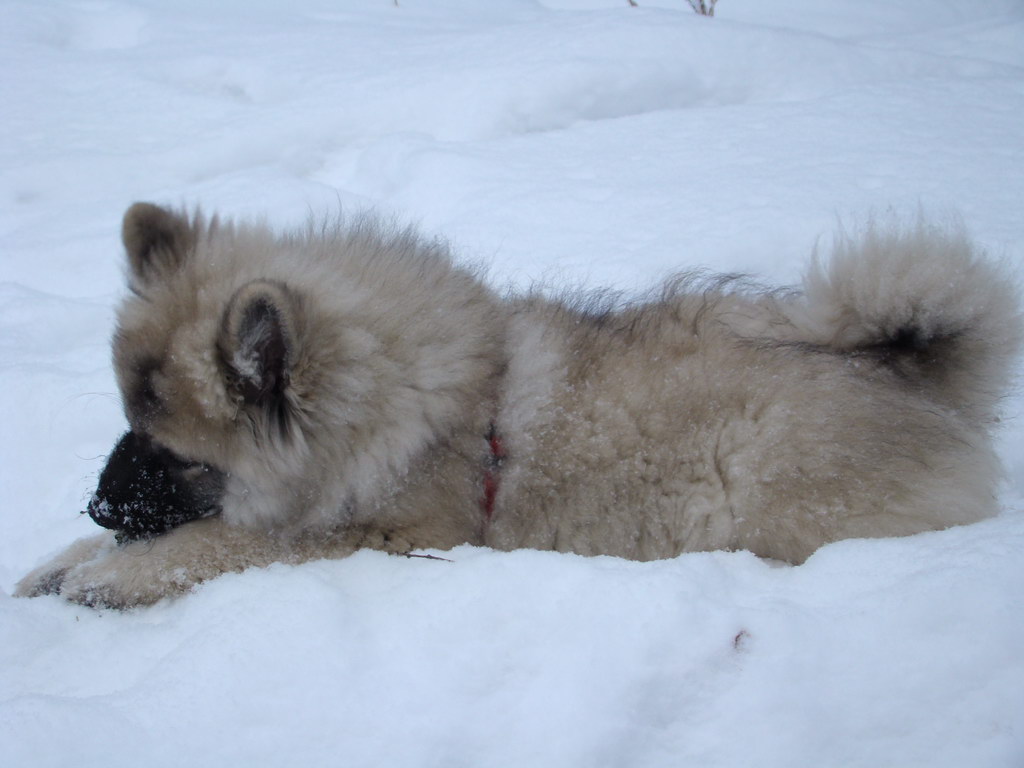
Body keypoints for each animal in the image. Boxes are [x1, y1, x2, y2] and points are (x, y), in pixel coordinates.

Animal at [12, 204, 1019, 606]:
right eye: (127, 428)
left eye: (178, 456)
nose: (96, 504)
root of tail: (919, 385)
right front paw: (61, 560)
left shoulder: (391, 537)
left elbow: (230, 541)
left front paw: (113, 573)